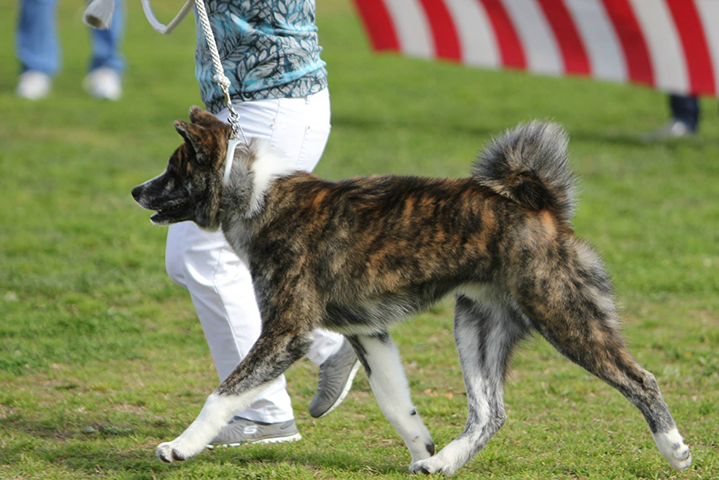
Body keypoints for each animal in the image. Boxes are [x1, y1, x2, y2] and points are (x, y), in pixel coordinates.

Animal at [134, 108, 692, 476]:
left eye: (175, 168)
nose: (137, 190)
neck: (256, 194)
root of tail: (542, 205)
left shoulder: (286, 332)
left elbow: (222, 394)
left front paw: (180, 447)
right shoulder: (368, 334)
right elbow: (396, 405)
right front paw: (423, 448)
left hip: (564, 315)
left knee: (641, 380)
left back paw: (675, 449)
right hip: (475, 327)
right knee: (490, 413)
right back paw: (443, 462)